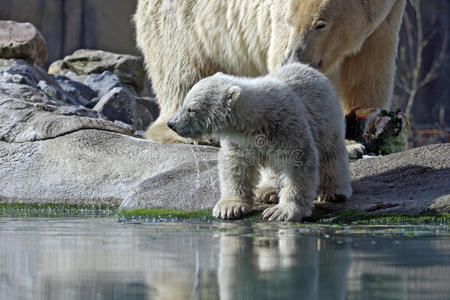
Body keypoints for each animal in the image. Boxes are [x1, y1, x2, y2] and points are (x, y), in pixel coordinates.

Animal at [135, 0, 406, 144]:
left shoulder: (385, 21)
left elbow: (368, 73)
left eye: (320, 24)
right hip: (182, 26)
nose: (293, 59)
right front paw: (349, 145)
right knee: (183, 77)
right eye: (290, 21)